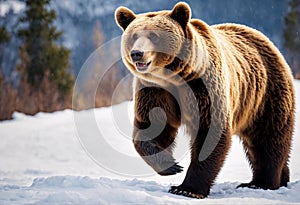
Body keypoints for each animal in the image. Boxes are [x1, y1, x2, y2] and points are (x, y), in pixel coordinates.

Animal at [115, 1, 296, 199]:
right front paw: (172, 165)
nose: (137, 53)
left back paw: (260, 183)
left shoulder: (203, 87)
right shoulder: (156, 90)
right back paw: (281, 178)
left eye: (154, 36)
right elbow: (152, 126)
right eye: (133, 36)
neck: (175, 77)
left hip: (265, 94)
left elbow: (210, 132)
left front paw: (187, 189)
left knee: (268, 137)